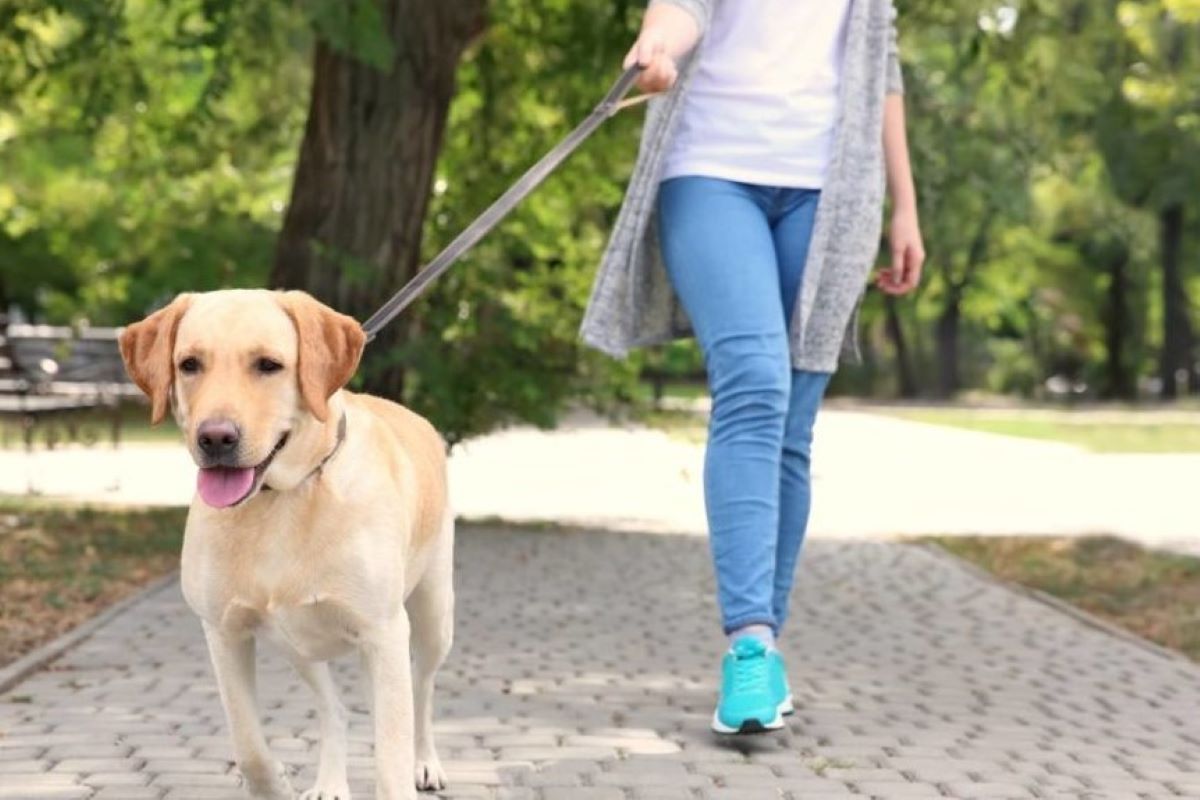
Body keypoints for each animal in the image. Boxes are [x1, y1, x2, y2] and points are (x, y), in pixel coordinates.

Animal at [120, 289, 453, 800]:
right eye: (189, 364)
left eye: (269, 365)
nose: (215, 438)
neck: (281, 499)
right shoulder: (224, 632)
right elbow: (249, 745)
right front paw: (274, 782)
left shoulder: (383, 631)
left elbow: (391, 759)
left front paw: (403, 768)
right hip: (296, 643)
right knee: (335, 708)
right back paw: (330, 781)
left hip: (433, 616)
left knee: (422, 689)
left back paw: (426, 762)